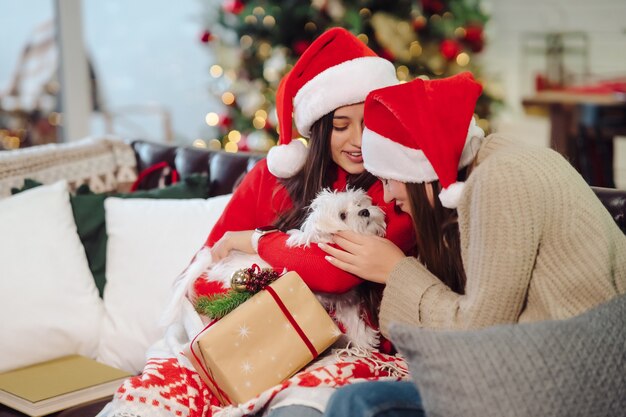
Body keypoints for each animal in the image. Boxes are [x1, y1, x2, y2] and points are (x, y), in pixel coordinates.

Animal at [161, 188, 386, 348]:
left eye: (358, 203)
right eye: (342, 215)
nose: (365, 211)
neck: (320, 242)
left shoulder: (345, 299)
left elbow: (353, 318)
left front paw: (364, 340)